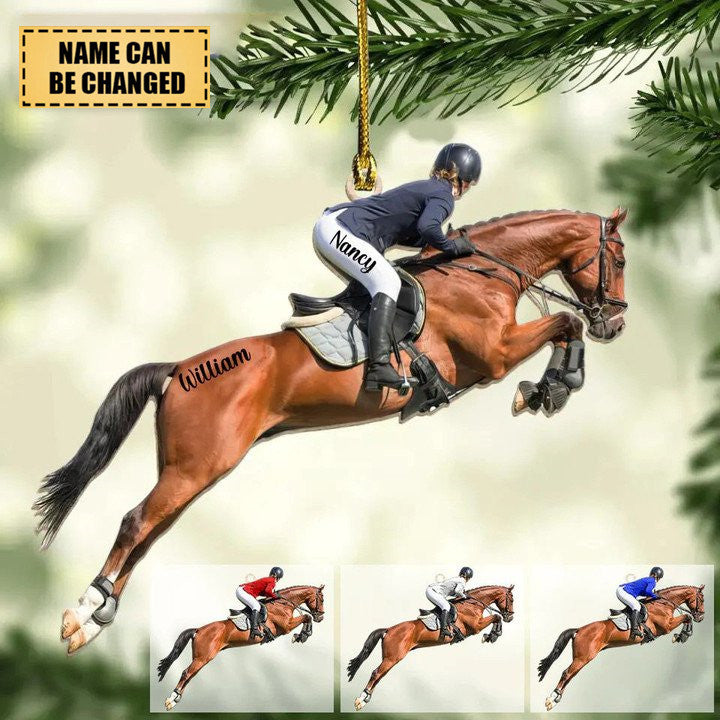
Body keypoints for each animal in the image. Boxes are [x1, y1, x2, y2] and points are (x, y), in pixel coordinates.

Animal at [33, 207, 628, 654]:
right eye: (618, 258)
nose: (616, 323)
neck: (480, 274)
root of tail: (177, 368)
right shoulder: (496, 354)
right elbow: (565, 322)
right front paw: (553, 386)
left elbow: (565, 327)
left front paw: (548, 388)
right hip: (196, 467)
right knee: (136, 523)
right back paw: (82, 613)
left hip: (195, 471)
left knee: (151, 532)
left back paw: (97, 620)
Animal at [157, 584, 325, 710]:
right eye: (322, 599)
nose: (321, 617)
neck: (283, 604)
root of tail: (198, 630)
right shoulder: (286, 626)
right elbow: (306, 617)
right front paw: (302, 635)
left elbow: (306, 617)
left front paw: (302, 635)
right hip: (202, 657)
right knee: (186, 673)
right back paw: (171, 700)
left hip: (203, 658)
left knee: (191, 675)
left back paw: (176, 700)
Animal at [347, 584, 515, 710]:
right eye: (511, 599)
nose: (511, 617)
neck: (472, 604)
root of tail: (388, 629)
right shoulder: (476, 626)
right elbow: (496, 617)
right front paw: (492, 635)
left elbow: (496, 617)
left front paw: (492, 635)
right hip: (392, 657)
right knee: (376, 673)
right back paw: (360, 700)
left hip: (393, 658)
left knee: (381, 675)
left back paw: (366, 699)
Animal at [538, 584, 706, 711]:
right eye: (702, 599)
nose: (701, 617)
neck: (663, 604)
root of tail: (578, 630)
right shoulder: (666, 626)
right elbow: (686, 617)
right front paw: (682, 635)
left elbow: (687, 618)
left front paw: (682, 635)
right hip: (583, 657)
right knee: (567, 673)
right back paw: (550, 700)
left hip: (584, 658)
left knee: (571, 675)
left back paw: (556, 699)